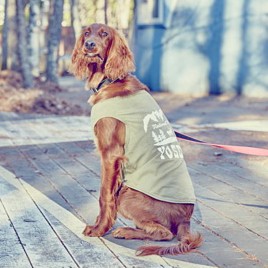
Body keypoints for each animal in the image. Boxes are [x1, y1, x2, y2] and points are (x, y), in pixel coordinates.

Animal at [70, 22, 202, 255]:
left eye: (104, 34)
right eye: (87, 33)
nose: (90, 45)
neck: (109, 81)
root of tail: (186, 218)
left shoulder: (111, 154)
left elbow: (104, 195)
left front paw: (98, 229)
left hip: (127, 195)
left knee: (165, 233)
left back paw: (126, 231)